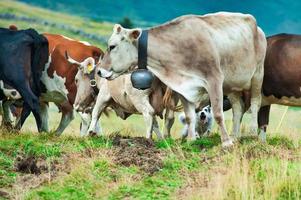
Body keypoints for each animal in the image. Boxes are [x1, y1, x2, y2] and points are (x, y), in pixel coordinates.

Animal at [97, 12, 266, 147]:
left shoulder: (214, 79)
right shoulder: (184, 87)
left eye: (112, 46)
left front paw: (226, 143)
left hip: (258, 74)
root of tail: (256, 26)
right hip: (233, 85)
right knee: (238, 108)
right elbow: (190, 116)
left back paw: (251, 133)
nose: (98, 71)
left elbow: (218, 114)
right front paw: (191, 140)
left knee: (255, 103)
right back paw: (235, 136)